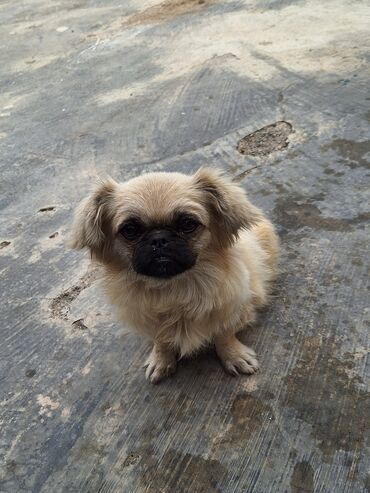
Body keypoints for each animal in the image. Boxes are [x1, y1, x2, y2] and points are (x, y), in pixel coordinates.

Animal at [69, 167, 278, 382]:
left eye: (187, 224)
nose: (159, 239)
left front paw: (234, 355)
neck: (174, 290)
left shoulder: (230, 306)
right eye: (130, 230)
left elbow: (224, 334)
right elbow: (162, 340)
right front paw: (161, 359)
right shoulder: (150, 319)